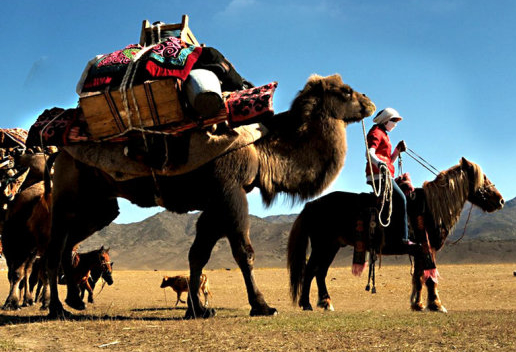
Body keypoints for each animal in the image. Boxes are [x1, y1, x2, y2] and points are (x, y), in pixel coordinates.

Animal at [288, 158, 506, 312]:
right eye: (483, 178)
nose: (500, 200)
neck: (431, 207)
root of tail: (312, 204)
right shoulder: (429, 248)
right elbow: (429, 277)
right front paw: (436, 305)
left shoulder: (420, 250)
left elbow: (419, 276)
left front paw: (418, 304)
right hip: (322, 245)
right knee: (311, 270)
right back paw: (307, 304)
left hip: (331, 247)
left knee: (320, 272)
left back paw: (325, 303)